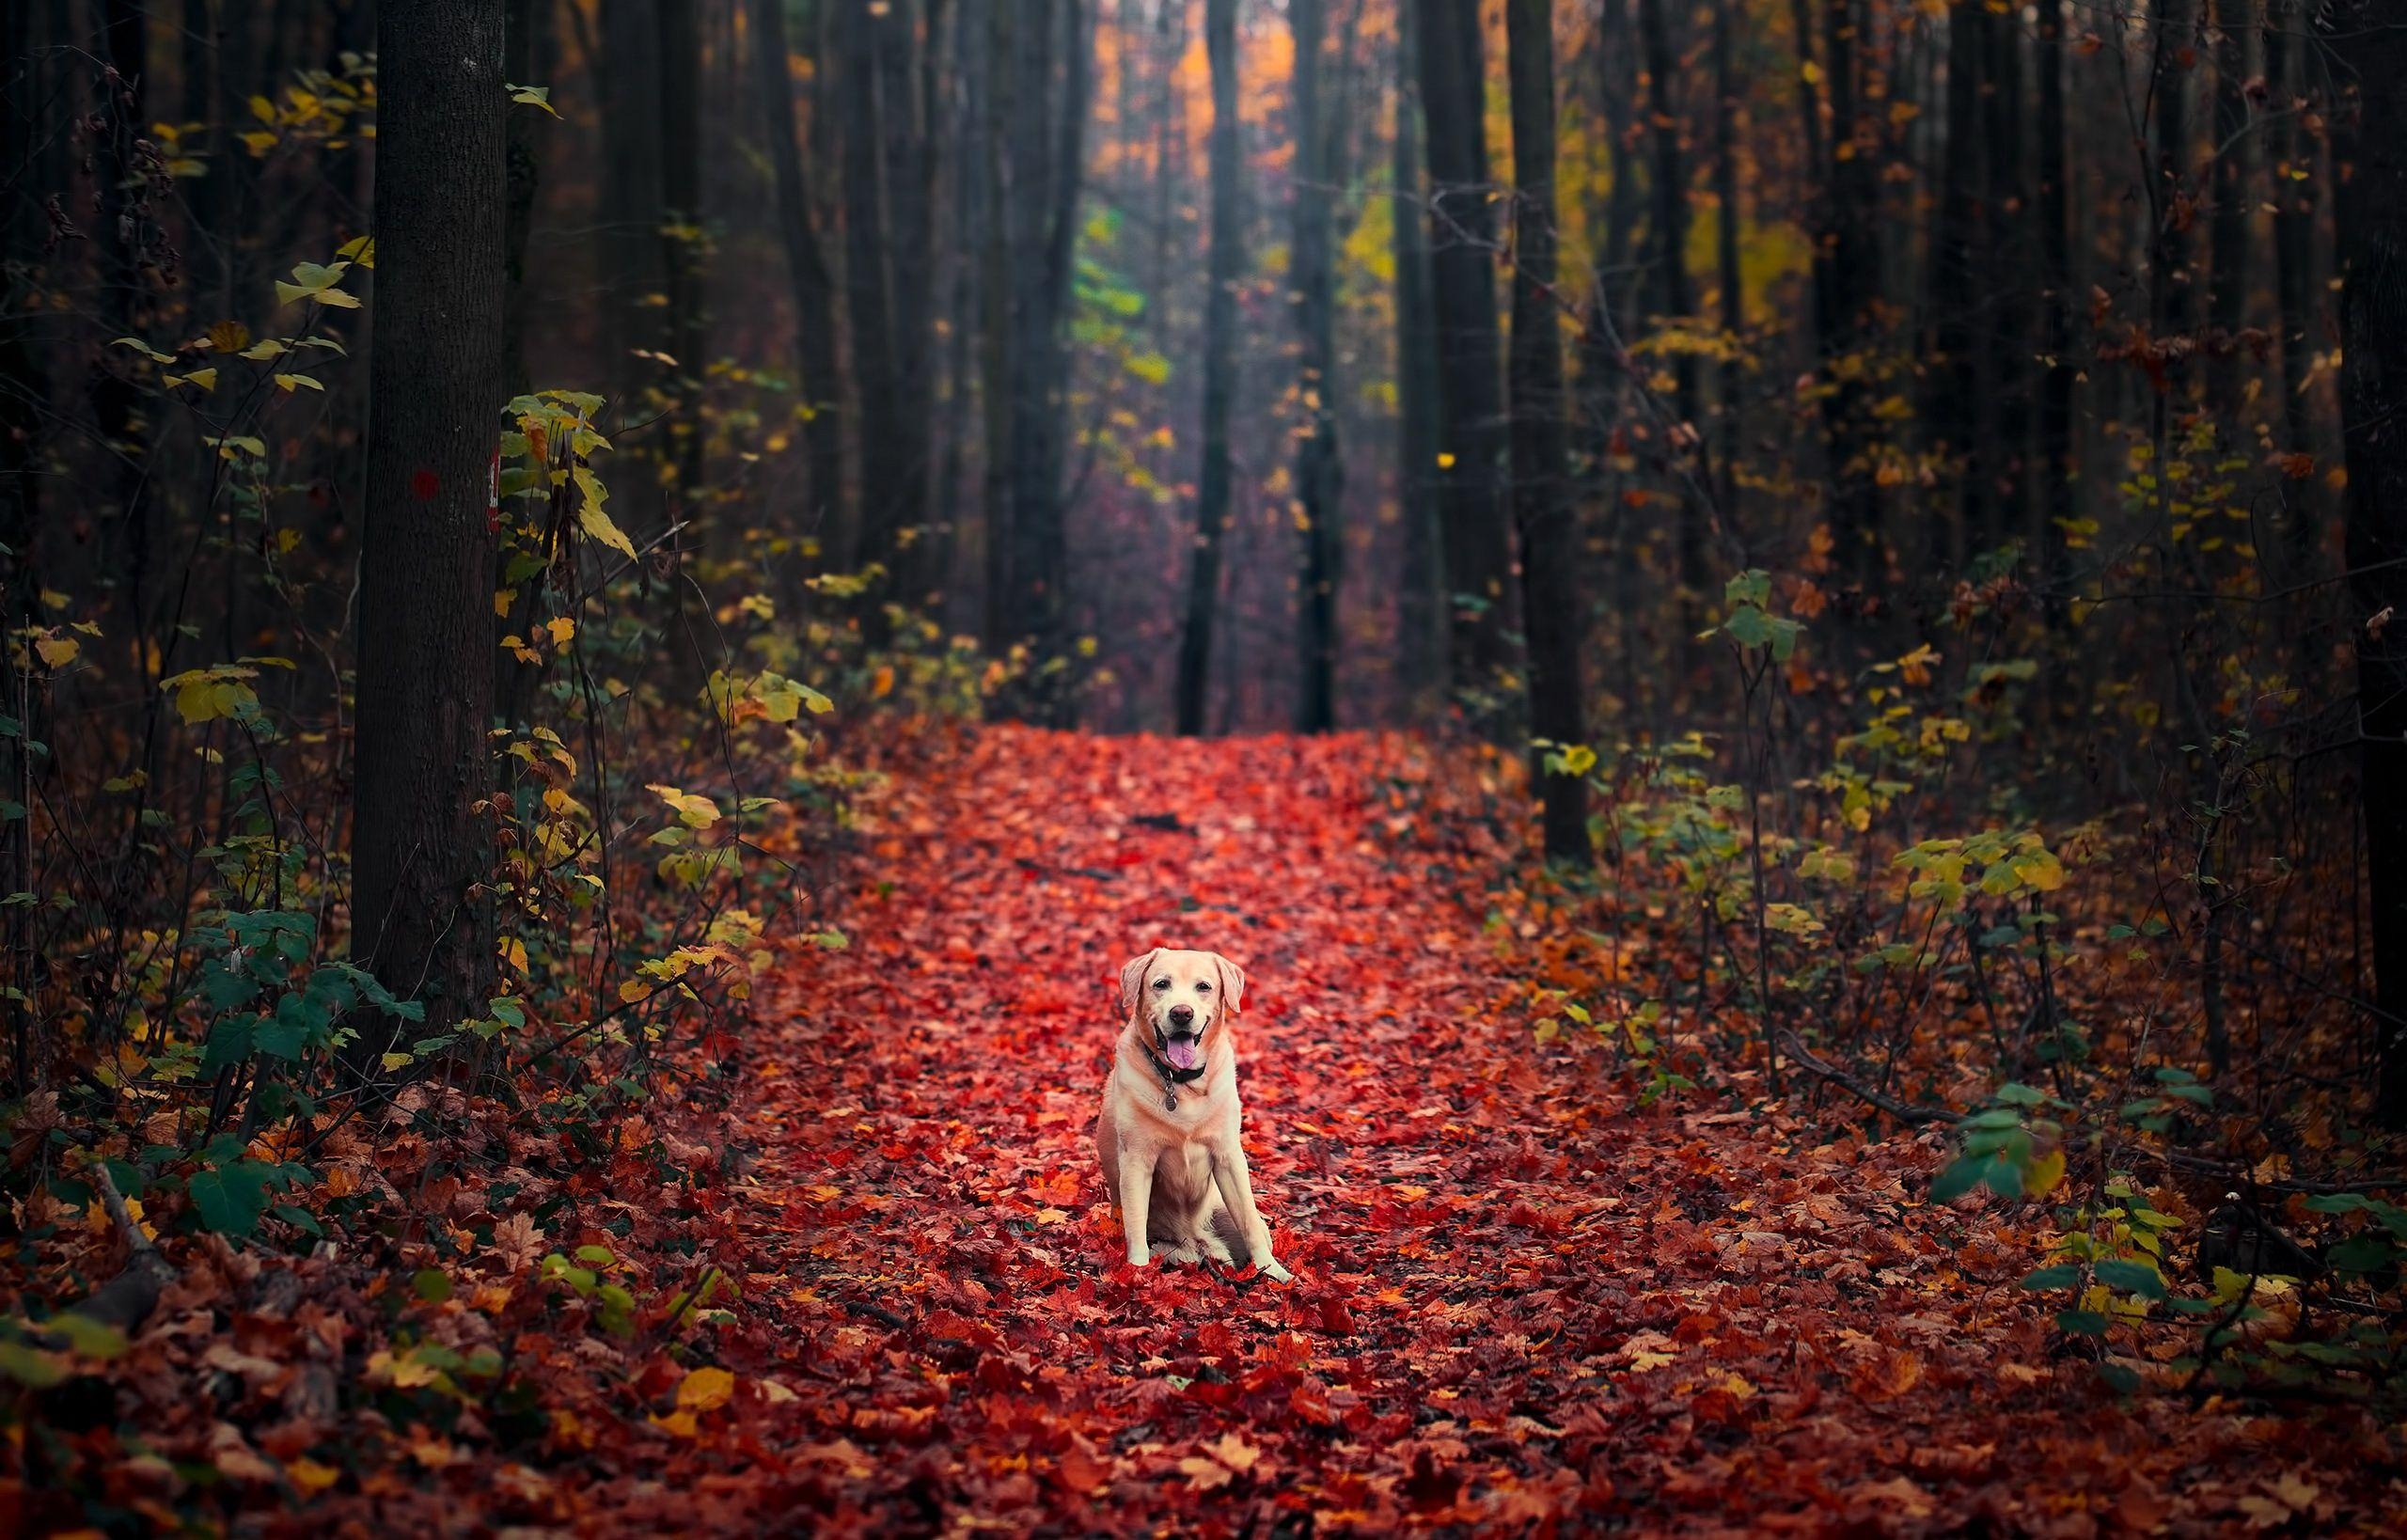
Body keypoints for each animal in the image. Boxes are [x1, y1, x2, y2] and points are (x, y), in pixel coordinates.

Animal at [1102, 943, 1299, 1280]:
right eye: (1161, 984)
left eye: (1203, 987)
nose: (1182, 1013)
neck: (1180, 1083)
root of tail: (1197, 1242)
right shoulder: (1136, 1160)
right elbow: (1136, 1228)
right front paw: (1137, 1274)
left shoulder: (1228, 1156)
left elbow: (1248, 1222)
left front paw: (1274, 1272)